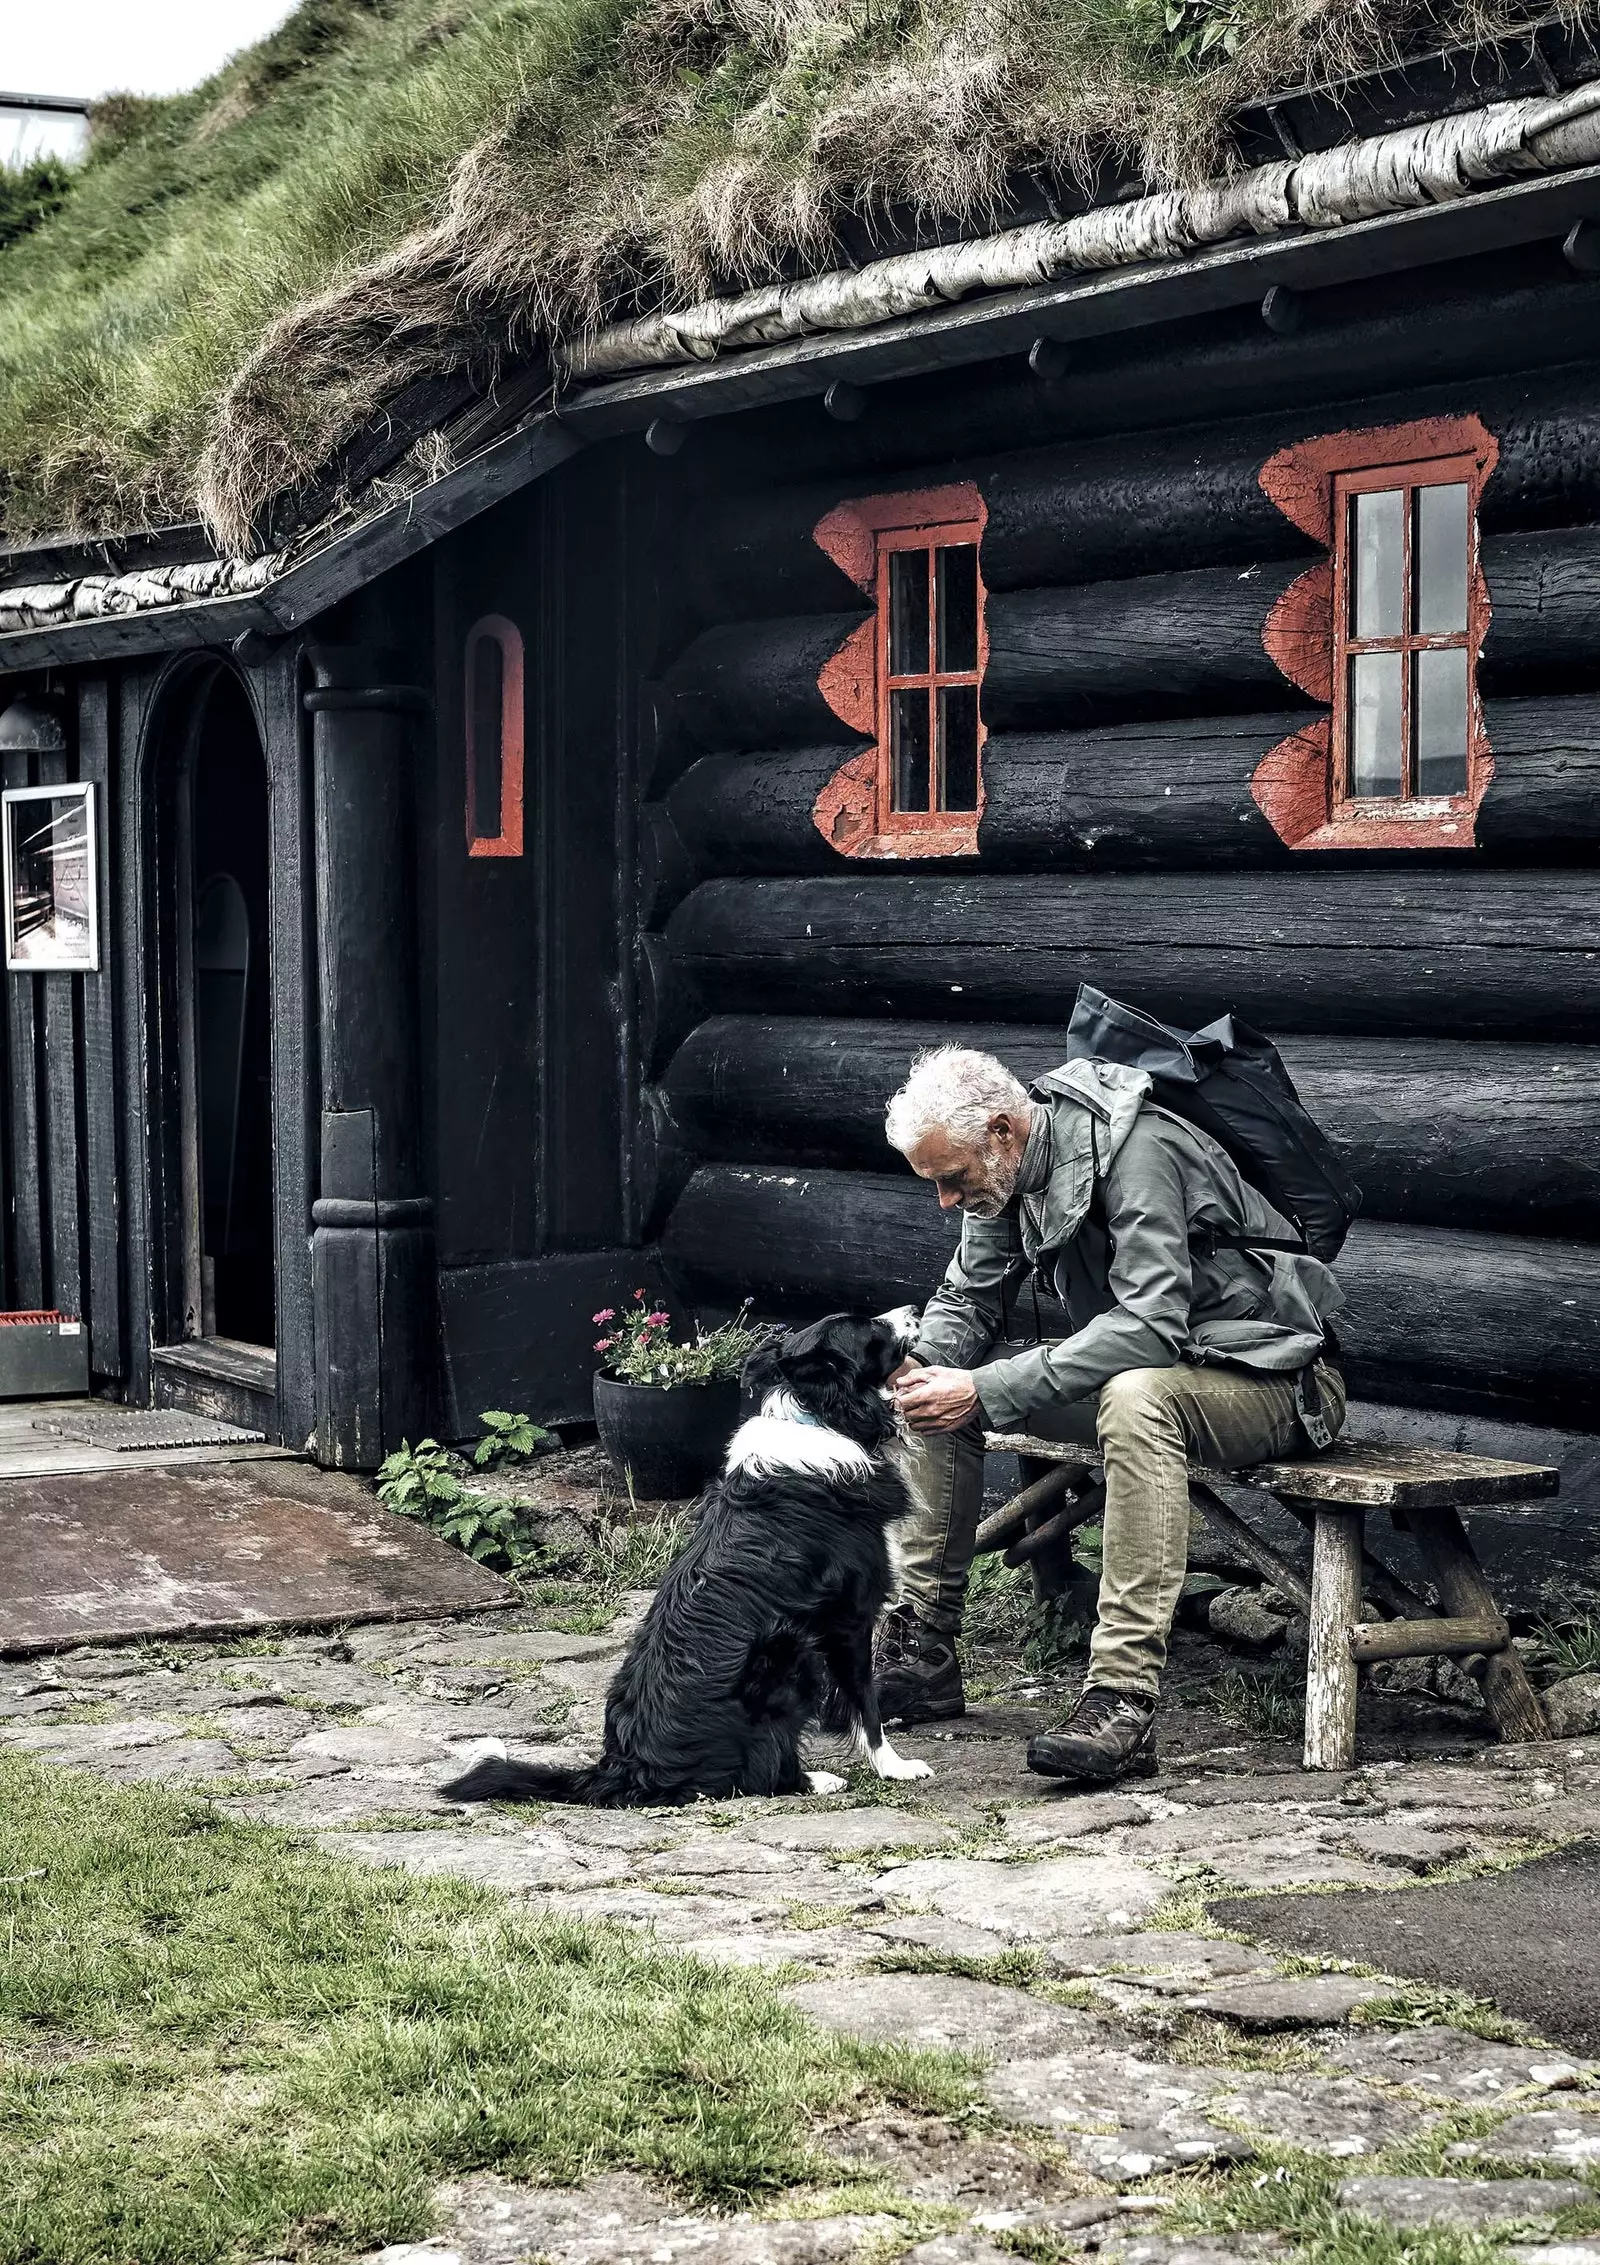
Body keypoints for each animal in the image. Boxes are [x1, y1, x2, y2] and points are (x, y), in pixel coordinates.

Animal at [441, 1313, 929, 1802]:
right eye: (870, 1330)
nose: (913, 1313)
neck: (824, 1419)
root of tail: (628, 1767)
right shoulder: (849, 1615)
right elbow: (866, 1704)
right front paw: (894, 1767)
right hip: (790, 1649)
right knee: (760, 1775)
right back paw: (814, 1779)